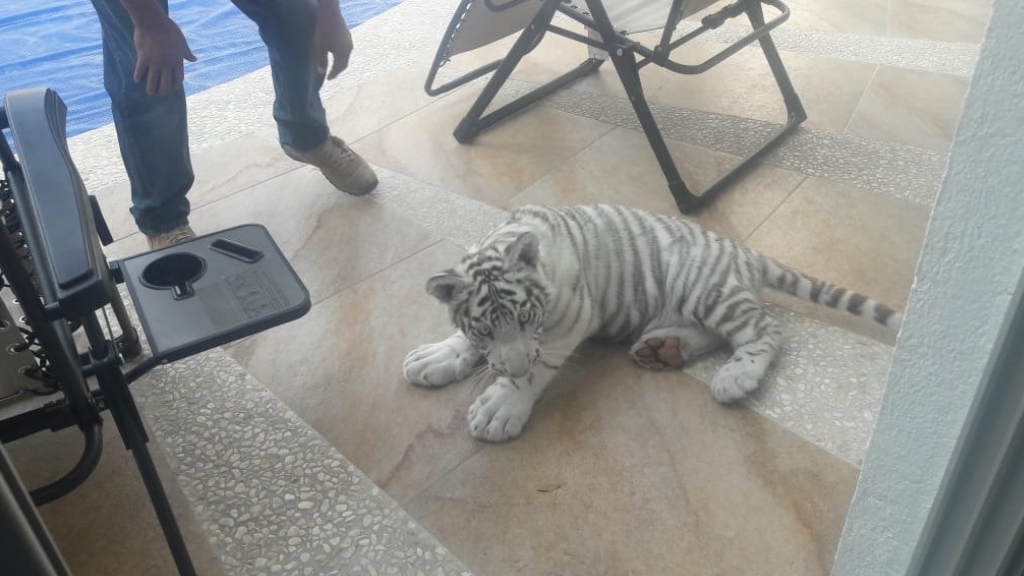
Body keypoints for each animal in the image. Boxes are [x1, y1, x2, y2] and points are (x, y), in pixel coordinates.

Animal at [402, 204, 900, 442]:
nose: (513, 365)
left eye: (528, 317)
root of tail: (744, 251)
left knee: (767, 330)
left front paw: (501, 406)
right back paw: (664, 349)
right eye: (485, 329)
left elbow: (536, 367)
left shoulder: (572, 318)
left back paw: (736, 376)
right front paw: (438, 355)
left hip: (704, 288)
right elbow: (467, 342)